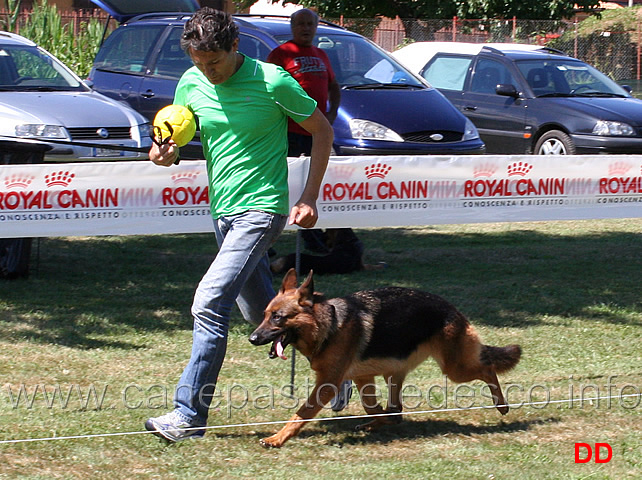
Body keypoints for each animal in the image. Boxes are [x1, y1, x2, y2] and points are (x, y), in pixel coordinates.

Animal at [246, 268, 520, 448]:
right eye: (265, 315)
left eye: (278, 317)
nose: (252, 338)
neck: (328, 326)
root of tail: (453, 309)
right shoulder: (362, 377)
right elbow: (371, 407)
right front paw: (375, 420)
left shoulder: (327, 384)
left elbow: (302, 413)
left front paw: (276, 439)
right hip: (395, 372)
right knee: (396, 410)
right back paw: (378, 423)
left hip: (454, 369)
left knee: (487, 368)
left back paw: (501, 404)